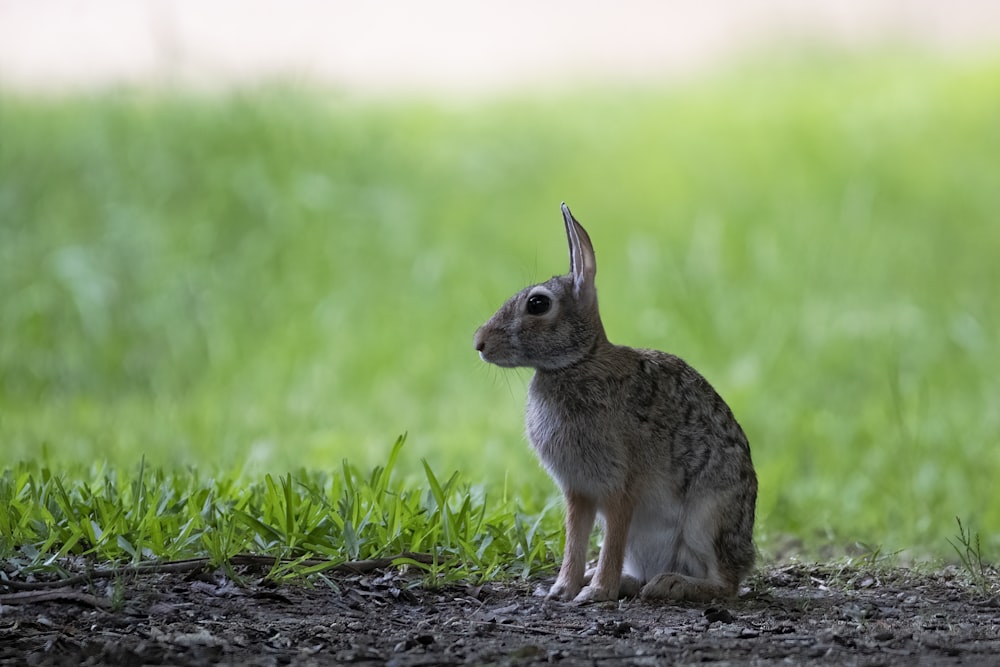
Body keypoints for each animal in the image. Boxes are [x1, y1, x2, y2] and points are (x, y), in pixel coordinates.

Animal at [472, 204, 752, 604]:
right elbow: (576, 540)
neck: (579, 362)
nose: (479, 342)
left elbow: (611, 539)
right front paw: (562, 589)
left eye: (538, 304)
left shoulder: (621, 485)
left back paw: (670, 584)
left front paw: (595, 593)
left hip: (707, 517)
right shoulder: (578, 491)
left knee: (726, 583)